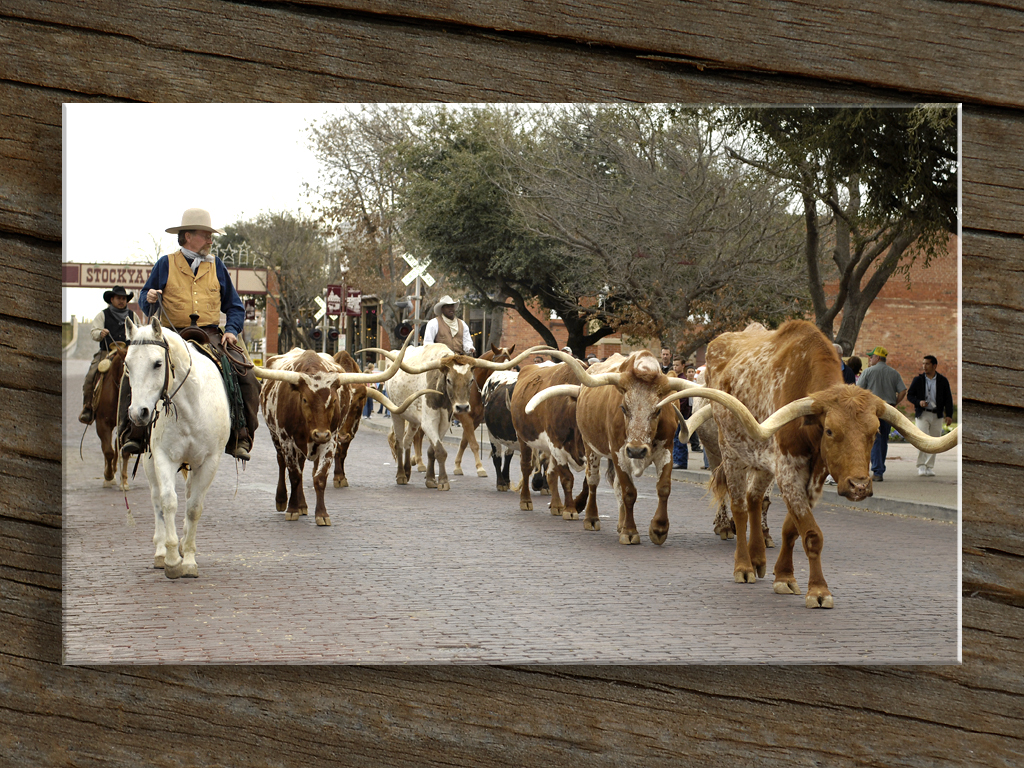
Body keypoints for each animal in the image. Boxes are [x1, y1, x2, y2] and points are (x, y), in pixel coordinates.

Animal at [123, 317, 230, 577]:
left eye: (157, 363)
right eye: (127, 364)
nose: (138, 413)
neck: (190, 406)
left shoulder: (209, 462)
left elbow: (193, 508)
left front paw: (189, 559)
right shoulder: (163, 457)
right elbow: (168, 501)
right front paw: (172, 559)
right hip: (149, 461)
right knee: (156, 499)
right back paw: (161, 552)